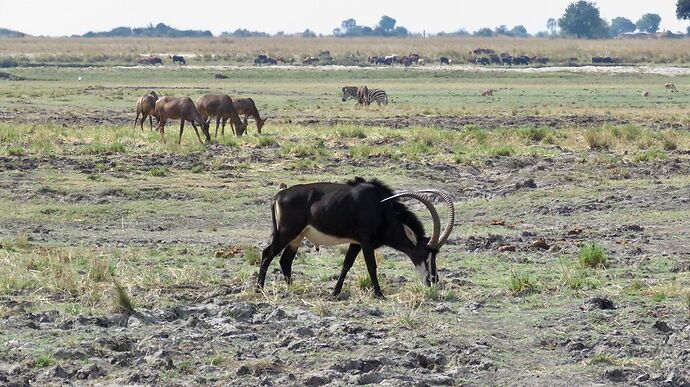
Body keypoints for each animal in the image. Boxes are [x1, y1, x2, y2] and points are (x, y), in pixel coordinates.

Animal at [255, 177, 454, 298]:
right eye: (425, 254)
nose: (433, 281)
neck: (381, 209)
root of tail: (279, 196)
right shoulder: (366, 242)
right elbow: (371, 266)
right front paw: (379, 294)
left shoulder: (355, 243)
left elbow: (346, 264)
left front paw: (335, 292)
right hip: (286, 233)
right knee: (267, 254)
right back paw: (259, 289)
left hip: (297, 237)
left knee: (285, 260)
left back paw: (292, 288)